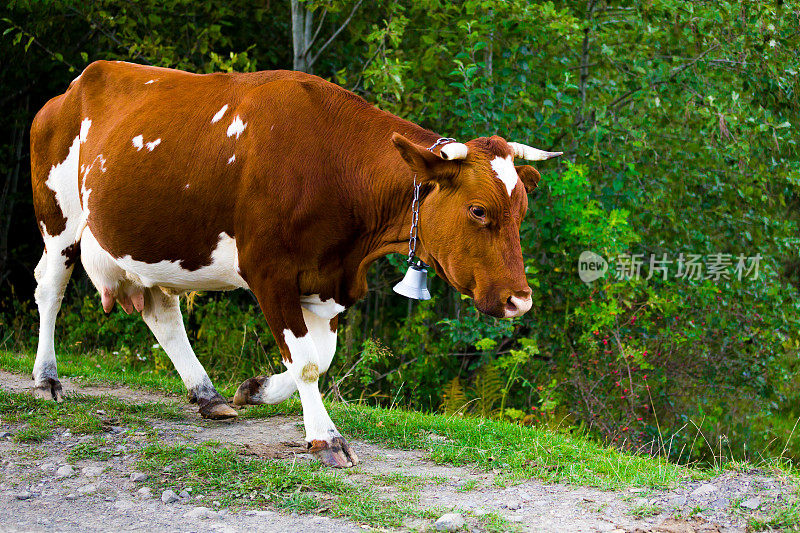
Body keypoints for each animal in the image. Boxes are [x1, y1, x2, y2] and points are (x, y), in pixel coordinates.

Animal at [29, 59, 564, 466]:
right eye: (478, 210)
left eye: (522, 210)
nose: (519, 300)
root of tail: (78, 83)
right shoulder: (270, 273)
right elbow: (306, 361)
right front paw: (325, 438)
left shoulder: (328, 281)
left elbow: (319, 358)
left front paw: (255, 389)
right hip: (59, 220)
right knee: (50, 289)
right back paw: (48, 379)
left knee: (162, 313)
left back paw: (208, 396)